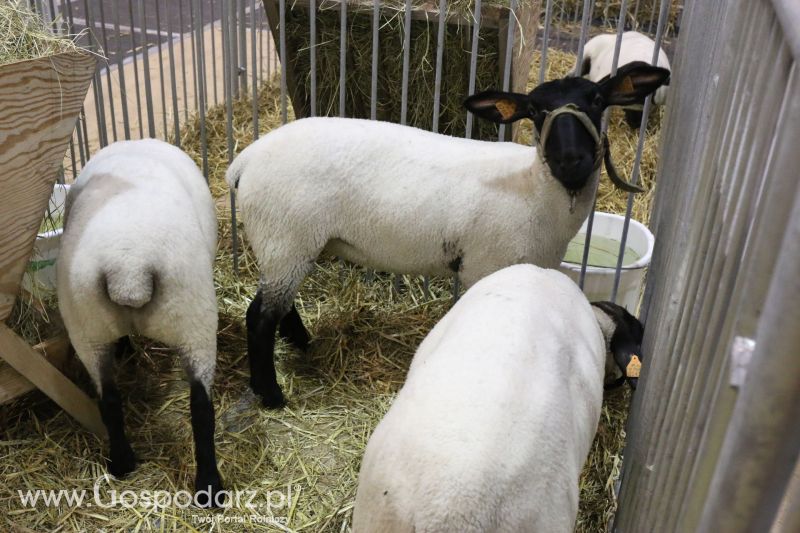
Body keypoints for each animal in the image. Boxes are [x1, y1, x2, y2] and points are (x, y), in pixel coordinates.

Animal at [57, 137, 223, 508]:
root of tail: (128, 265)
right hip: (195, 319)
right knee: (201, 408)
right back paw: (209, 486)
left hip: (87, 327)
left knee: (108, 398)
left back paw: (121, 463)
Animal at [227, 61, 668, 408]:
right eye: (536, 111)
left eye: (596, 100)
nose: (571, 159)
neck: (535, 190)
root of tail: (245, 161)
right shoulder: (484, 267)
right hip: (284, 236)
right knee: (260, 317)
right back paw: (271, 395)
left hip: (290, 244)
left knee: (280, 306)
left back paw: (303, 343)